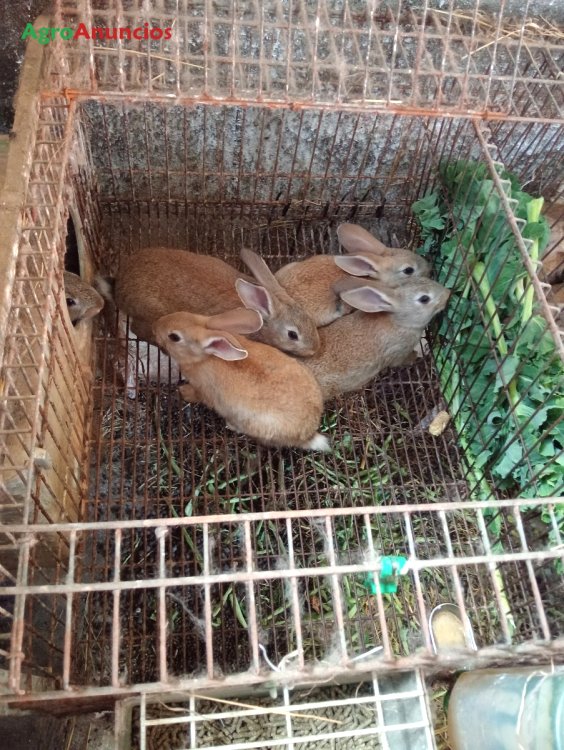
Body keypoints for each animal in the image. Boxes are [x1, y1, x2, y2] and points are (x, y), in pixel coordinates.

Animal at [153, 308, 330, 451]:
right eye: (182, 313)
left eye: (174, 337)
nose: (156, 326)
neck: (205, 357)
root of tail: (308, 434)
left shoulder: (204, 391)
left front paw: (183, 391)